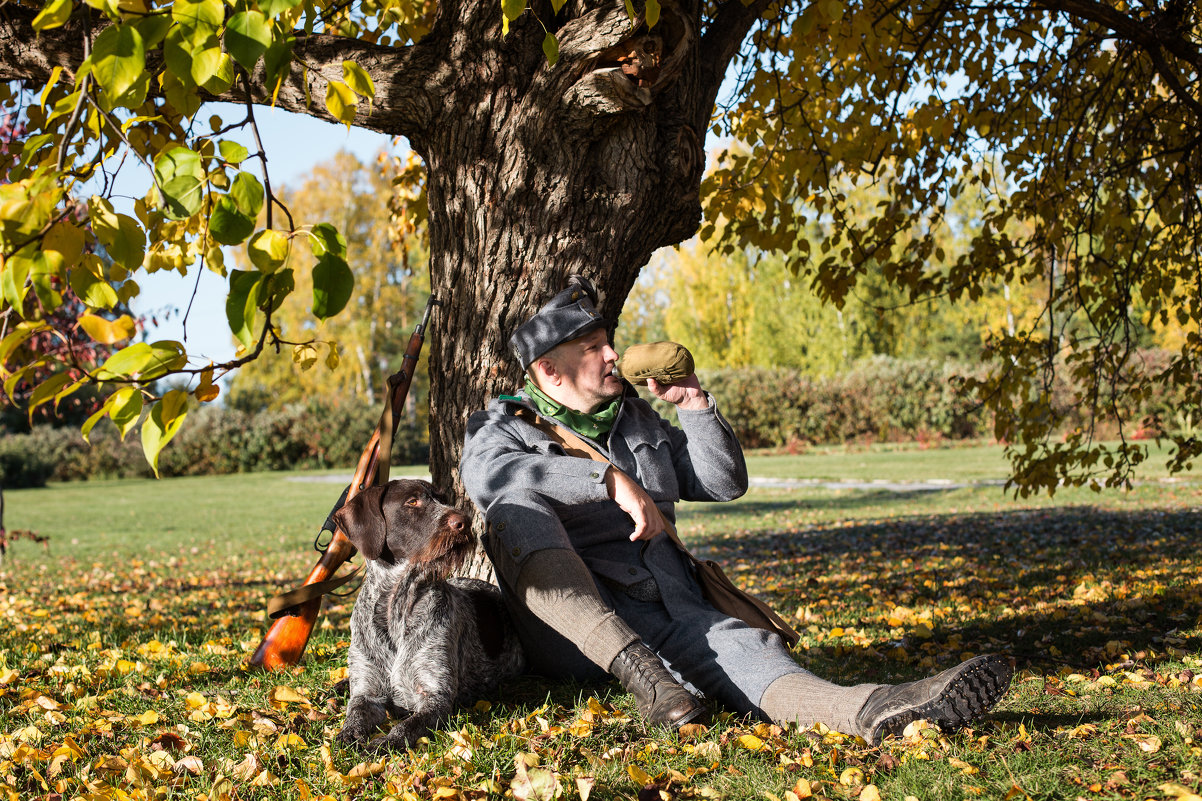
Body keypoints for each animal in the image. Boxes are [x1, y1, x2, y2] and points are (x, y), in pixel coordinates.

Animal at [331, 481, 524, 750]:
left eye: (444, 499)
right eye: (412, 502)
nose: (464, 522)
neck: (397, 606)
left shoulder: (435, 697)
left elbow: (404, 728)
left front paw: (383, 744)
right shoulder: (368, 694)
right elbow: (354, 714)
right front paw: (347, 736)